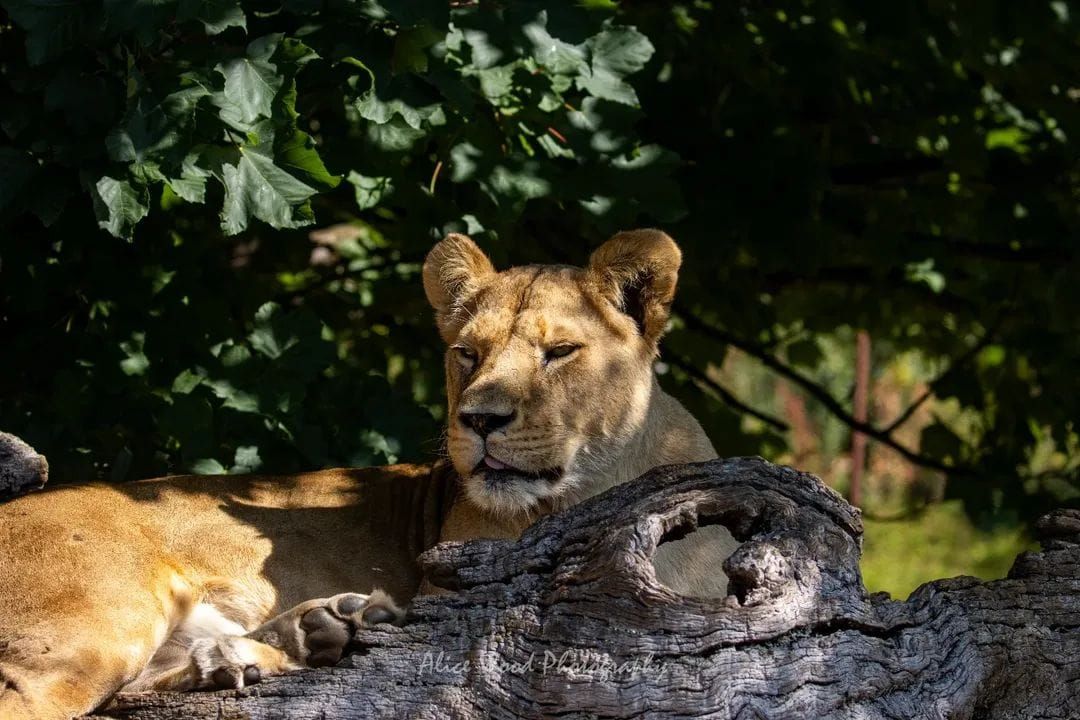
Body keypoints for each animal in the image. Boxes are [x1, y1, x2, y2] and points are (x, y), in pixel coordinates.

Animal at [0, 229, 737, 720]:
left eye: (559, 353)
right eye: (468, 354)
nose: (480, 420)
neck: (587, 498)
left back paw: (291, 640)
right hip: (98, 620)